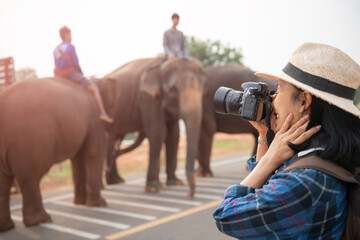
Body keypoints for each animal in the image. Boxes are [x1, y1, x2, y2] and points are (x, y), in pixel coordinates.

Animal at [0, 76, 116, 231]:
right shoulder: (95, 120)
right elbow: (93, 153)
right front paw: (99, 204)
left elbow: (77, 159)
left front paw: (80, 203)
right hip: (30, 142)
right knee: (30, 177)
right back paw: (41, 221)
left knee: (5, 180)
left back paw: (7, 227)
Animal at [104, 57, 205, 197]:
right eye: (174, 90)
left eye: (203, 88)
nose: (190, 194)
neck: (161, 67)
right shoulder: (147, 98)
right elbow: (157, 132)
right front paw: (154, 188)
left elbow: (174, 134)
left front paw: (175, 183)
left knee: (115, 139)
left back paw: (116, 180)